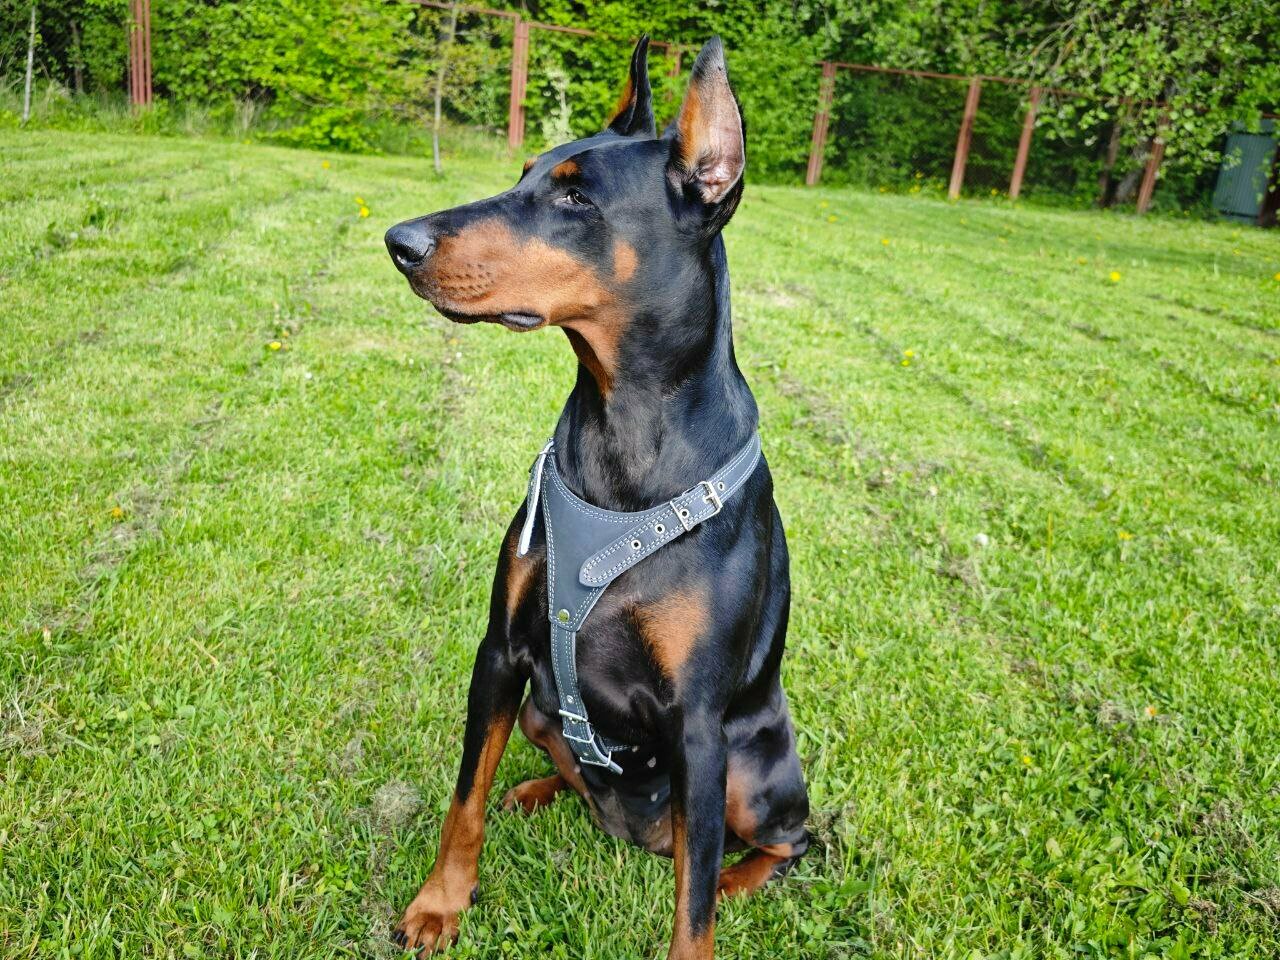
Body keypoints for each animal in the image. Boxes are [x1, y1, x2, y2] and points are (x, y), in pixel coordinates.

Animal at [384, 36, 809, 959]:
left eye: (576, 196)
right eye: (524, 175)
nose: (400, 240)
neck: (627, 423)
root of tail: (637, 829)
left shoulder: (698, 722)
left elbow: (693, 909)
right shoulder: (501, 654)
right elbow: (464, 796)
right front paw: (440, 903)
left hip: (754, 769)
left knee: (784, 839)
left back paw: (737, 873)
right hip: (546, 707)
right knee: (574, 773)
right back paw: (540, 792)